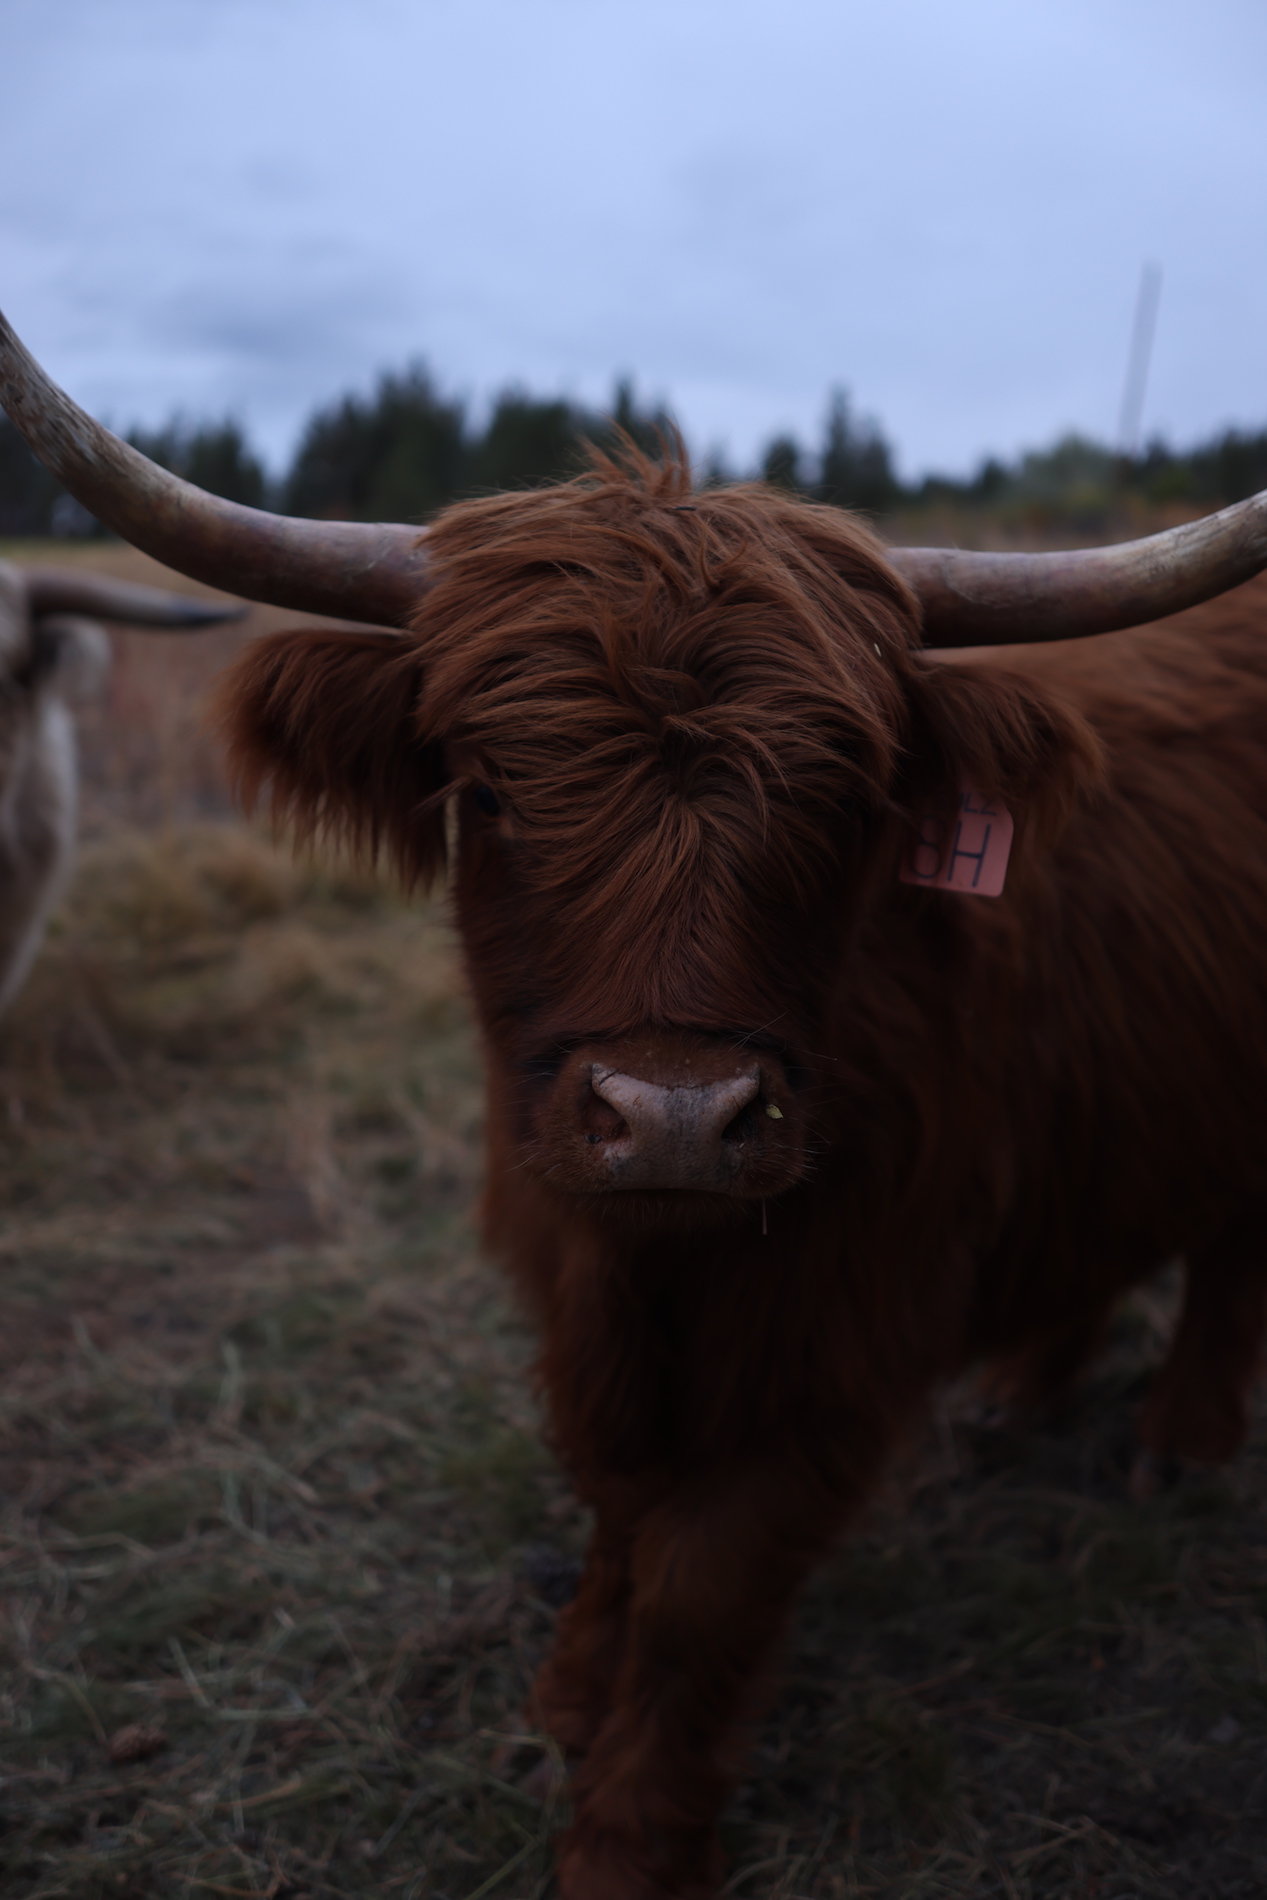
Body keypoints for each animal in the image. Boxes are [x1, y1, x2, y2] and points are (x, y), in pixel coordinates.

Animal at [7, 304, 1267, 1892]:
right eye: (486, 792)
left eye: (849, 804)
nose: (673, 1115)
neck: (656, 1266)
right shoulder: (572, 1274)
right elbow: (612, 1492)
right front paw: (564, 1687)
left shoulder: (839, 1336)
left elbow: (697, 1590)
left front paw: (626, 1839)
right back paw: (1026, 1390)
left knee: (1231, 1250)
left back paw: (1180, 1441)